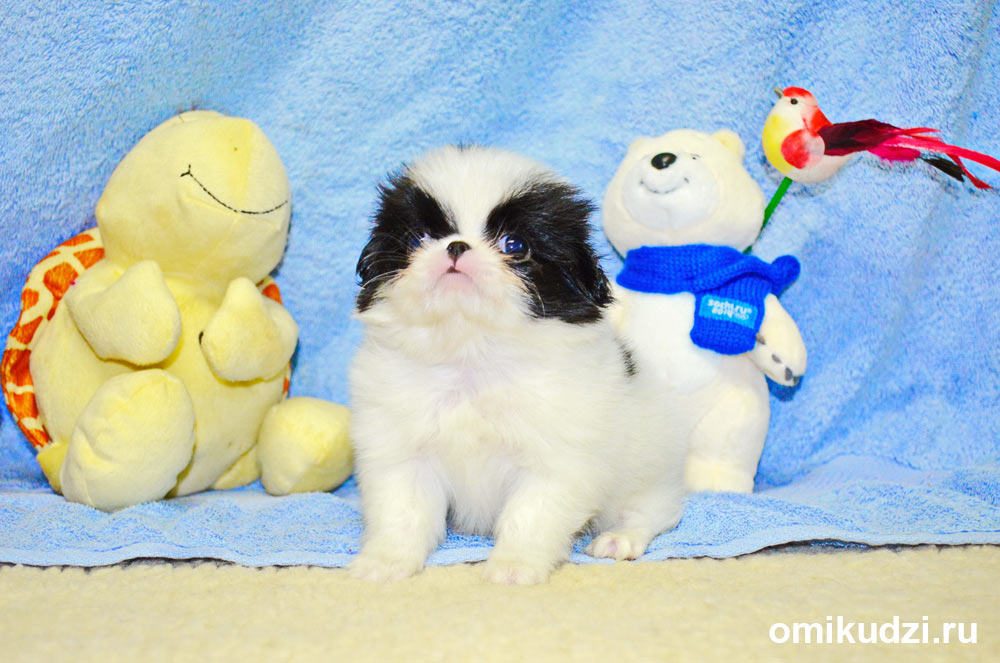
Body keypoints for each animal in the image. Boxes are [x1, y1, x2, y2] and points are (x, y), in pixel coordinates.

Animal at [348, 145, 687, 585]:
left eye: (515, 246)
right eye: (419, 239)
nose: (455, 247)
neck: (471, 355)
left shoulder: (554, 462)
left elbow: (529, 516)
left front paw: (513, 566)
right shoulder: (401, 451)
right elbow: (402, 513)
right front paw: (385, 562)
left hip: (650, 467)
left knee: (655, 511)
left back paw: (619, 538)